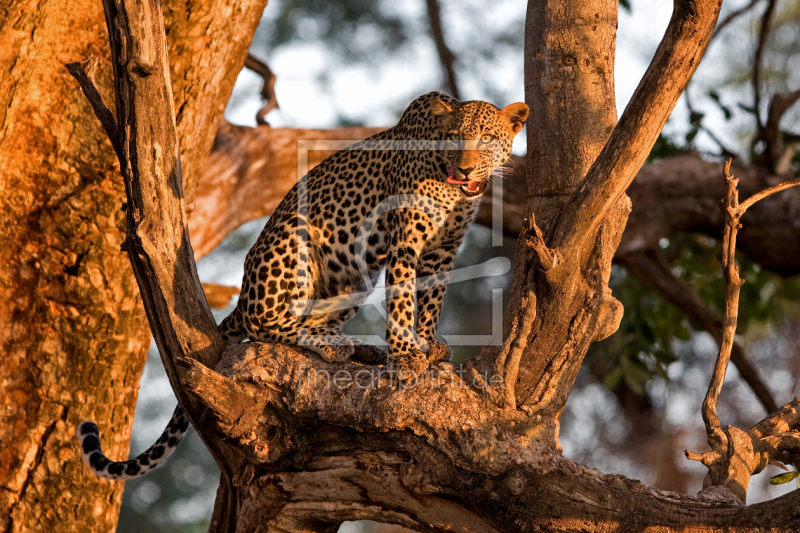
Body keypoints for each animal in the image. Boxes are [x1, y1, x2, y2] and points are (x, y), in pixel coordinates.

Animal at [73, 90, 524, 478]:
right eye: (455, 138)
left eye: (486, 139)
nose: (465, 168)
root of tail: (242, 299)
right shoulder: (405, 243)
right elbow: (402, 302)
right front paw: (406, 357)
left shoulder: (442, 251)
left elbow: (431, 301)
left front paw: (427, 345)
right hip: (296, 236)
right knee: (264, 327)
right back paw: (333, 345)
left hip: (353, 274)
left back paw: (354, 346)